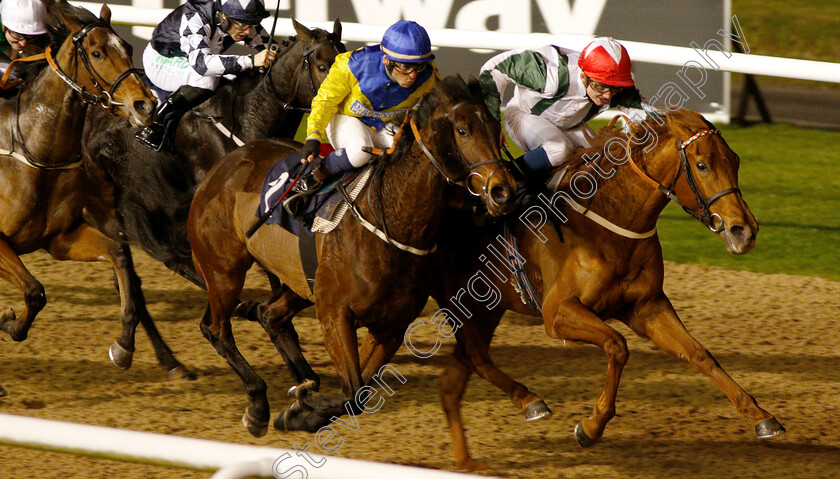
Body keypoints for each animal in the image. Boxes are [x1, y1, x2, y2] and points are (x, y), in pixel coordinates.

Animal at [0, 1, 156, 374]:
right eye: (97, 53)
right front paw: (8, 321)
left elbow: (118, 255)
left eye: (128, 48)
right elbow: (35, 291)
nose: (146, 106)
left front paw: (124, 345)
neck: (35, 152)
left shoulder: (60, 238)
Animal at [189, 76, 520, 438]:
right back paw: (259, 404)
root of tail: (228, 161)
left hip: (300, 281)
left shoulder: (390, 327)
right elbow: (352, 392)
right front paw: (301, 405)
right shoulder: (335, 315)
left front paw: (301, 409)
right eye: (462, 131)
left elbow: (357, 395)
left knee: (270, 315)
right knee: (216, 329)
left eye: (496, 127)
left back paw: (303, 380)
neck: (389, 220)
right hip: (223, 270)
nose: (504, 192)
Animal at [426, 108, 788, 468]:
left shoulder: (648, 306)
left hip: (486, 309)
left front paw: (761, 417)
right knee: (474, 358)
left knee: (452, 380)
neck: (608, 220)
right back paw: (529, 401)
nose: (744, 230)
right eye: (702, 165)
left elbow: (699, 353)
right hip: (461, 304)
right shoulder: (557, 312)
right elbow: (617, 345)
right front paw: (592, 426)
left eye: (735, 160)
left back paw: (468, 460)